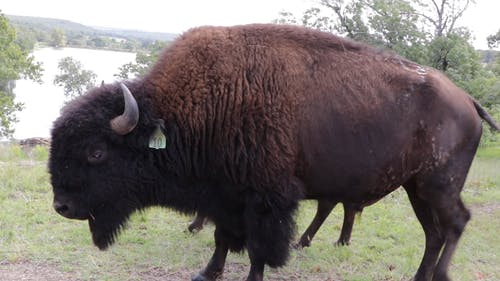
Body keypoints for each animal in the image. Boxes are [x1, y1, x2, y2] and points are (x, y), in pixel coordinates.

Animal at [48, 24, 498, 280]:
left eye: (96, 152)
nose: (61, 206)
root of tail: (468, 101)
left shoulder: (265, 199)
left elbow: (259, 248)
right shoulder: (226, 196)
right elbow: (223, 238)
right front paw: (206, 274)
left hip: (438, 185)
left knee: (456, 223)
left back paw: (439, 276)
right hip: (416, 188)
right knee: (433, 232)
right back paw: (419, 277)